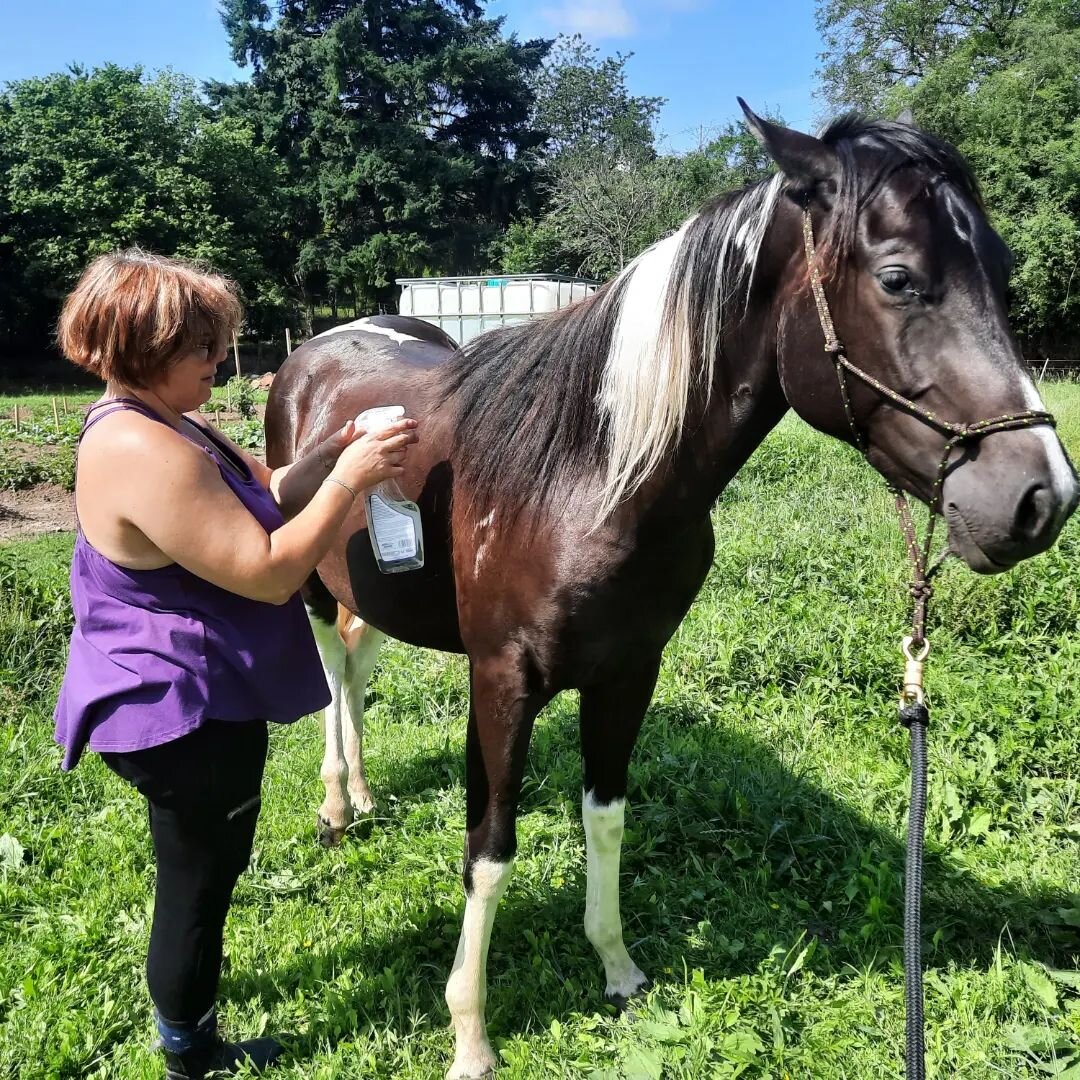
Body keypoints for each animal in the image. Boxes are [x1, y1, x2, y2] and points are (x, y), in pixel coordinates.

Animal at [265, 103, 1075, 1080]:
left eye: (1000, 268)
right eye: (898, 278)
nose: (1041, 498)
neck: (591, 476)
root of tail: (314, 351)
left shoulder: (628, 671)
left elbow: (606, 818)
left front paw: (616, 968)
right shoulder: (501, 683)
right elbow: (488, 850)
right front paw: (470, 1035)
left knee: (357, 664)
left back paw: (364, 793)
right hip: (309, 587)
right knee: (332, 675)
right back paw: (337, 802)